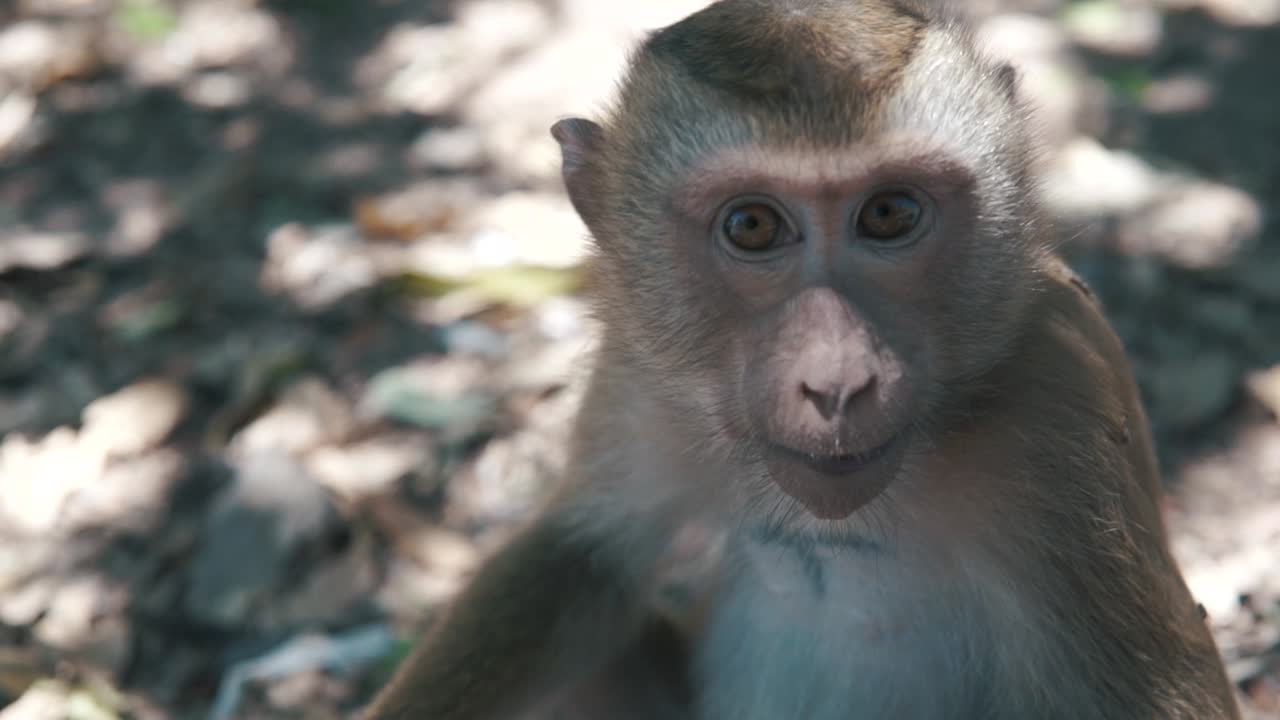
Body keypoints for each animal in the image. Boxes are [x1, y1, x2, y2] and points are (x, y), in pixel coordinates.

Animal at [362, 1, 1240, 718]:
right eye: (752, 226)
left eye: (888, 214)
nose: (837, 378)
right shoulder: (639, 378)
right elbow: (581, 557)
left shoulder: (1061, 405)